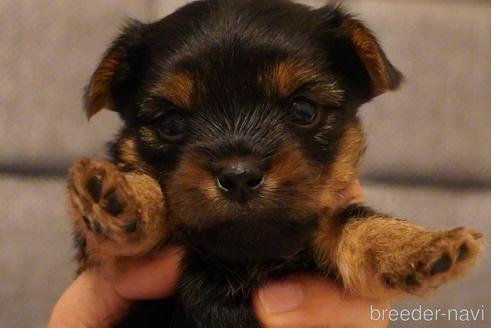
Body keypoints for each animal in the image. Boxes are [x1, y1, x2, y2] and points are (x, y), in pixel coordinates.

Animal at [67, 1, 482, 326]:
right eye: (170, 123)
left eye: (303, 110)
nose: (239, 176)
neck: (246, 256)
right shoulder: (103, 262)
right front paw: (121, 195)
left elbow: (354, 221)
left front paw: (417, 246)